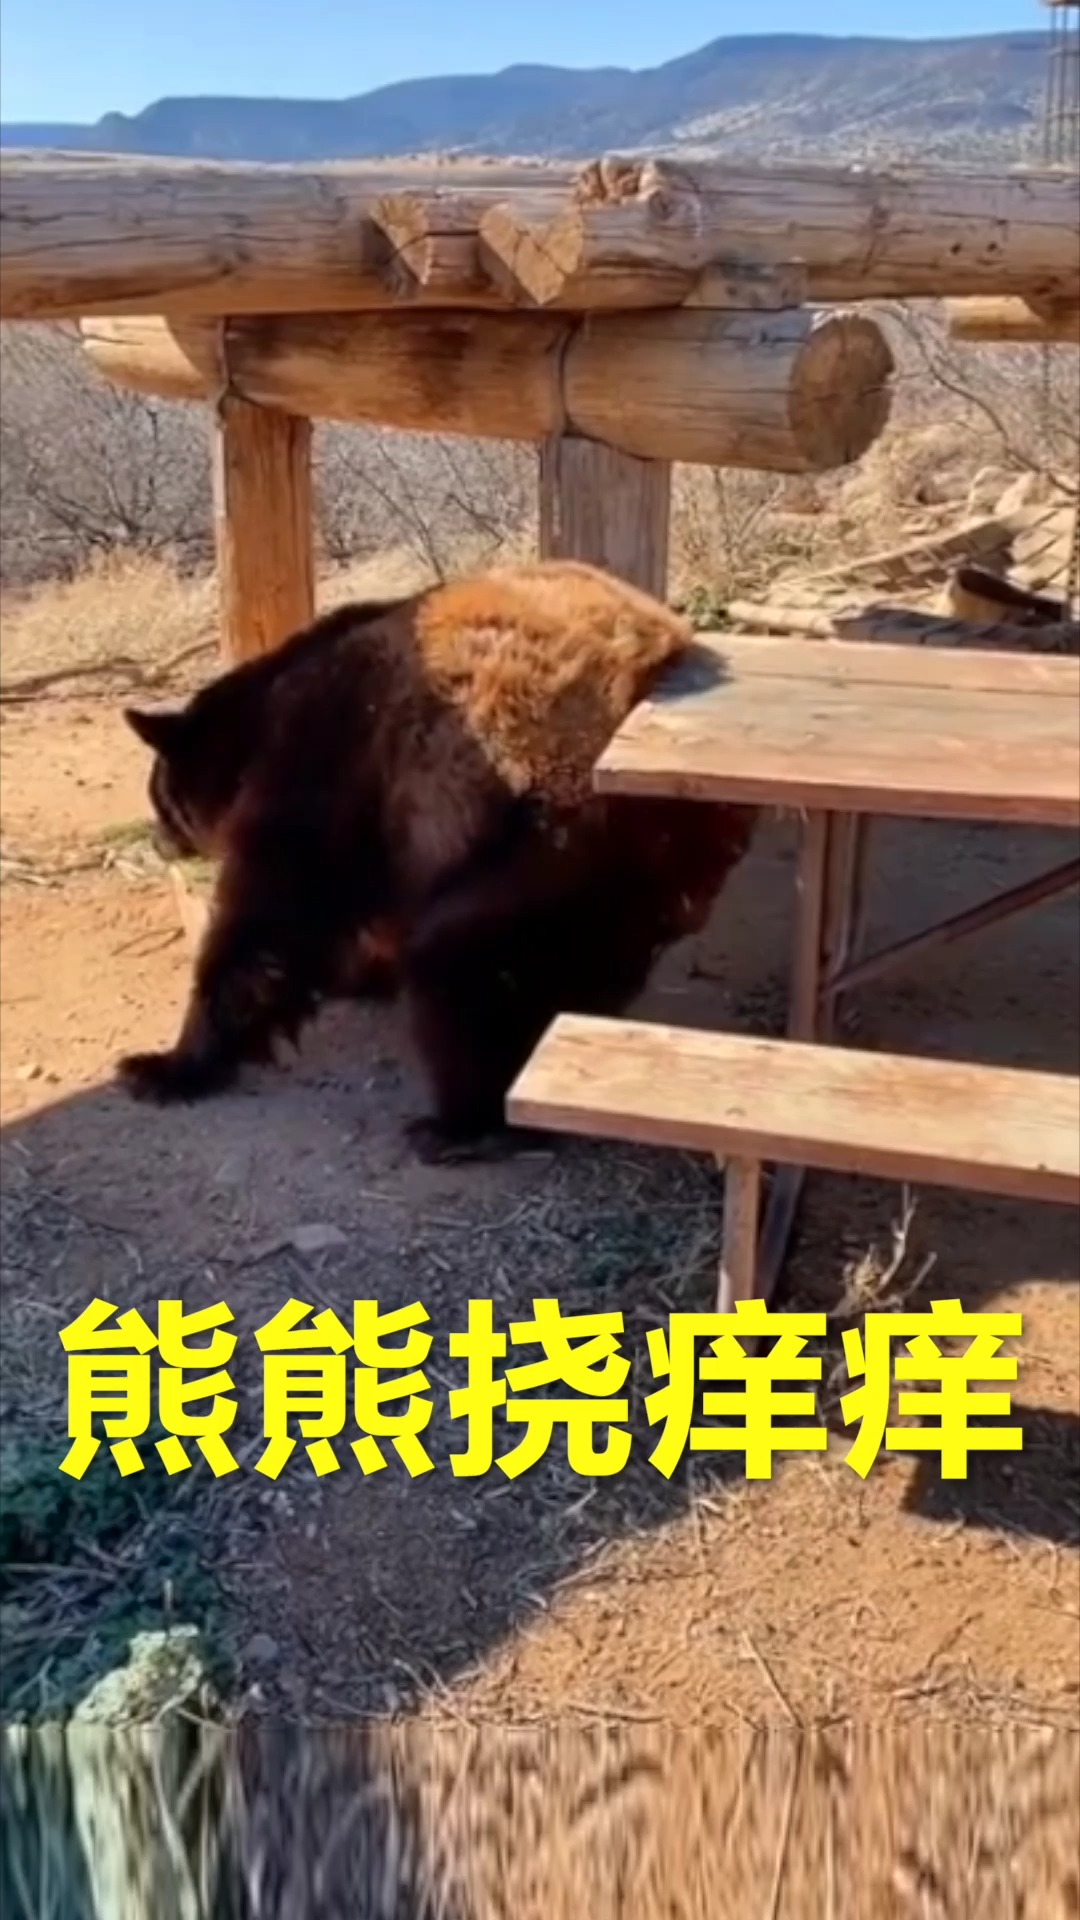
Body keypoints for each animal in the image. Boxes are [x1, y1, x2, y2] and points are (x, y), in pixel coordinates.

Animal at [118, 559, 757, 1163]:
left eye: (157, 796)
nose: (157, 842)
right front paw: (360, 976)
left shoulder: (329, 762)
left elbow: (270, 917)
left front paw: (162, 1065)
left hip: (543, 832)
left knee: (465, 969)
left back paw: (462, 1123)